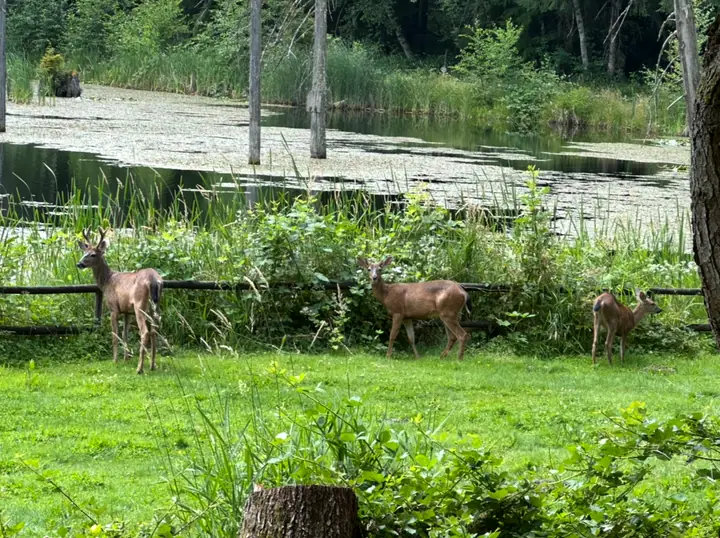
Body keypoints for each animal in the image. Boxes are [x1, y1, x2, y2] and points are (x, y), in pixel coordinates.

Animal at [77, 228, 163, 374]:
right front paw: (126, 358)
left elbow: (115, 335)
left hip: (140, 305)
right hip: (155, 305)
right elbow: (125, 334)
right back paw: (152, 365)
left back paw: (139, 369)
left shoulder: (114, 308)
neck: (107, 281)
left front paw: (115, 360)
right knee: (154, 331)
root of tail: (153, 279)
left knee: (145, 332)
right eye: (84, 253)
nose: (79, 264)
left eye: (93, 254)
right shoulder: (127, 311)